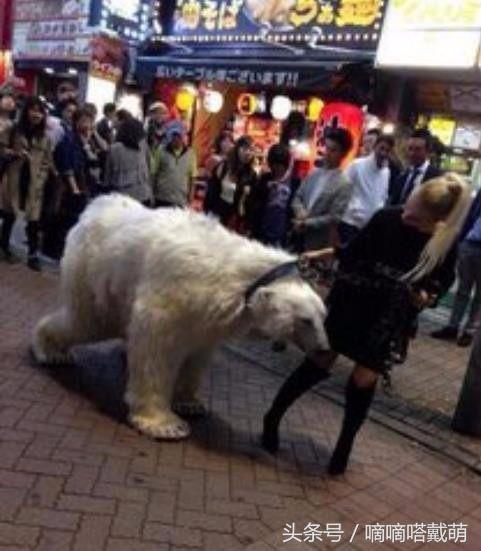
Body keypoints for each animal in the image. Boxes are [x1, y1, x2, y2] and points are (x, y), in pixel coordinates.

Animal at [32, 195, 328, 440]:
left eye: (323, 317)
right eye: (306, 320)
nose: (325, 349)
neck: (236, 276)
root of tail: (94, 207)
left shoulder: (208, 315)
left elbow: (197, 353)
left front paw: (190, 403)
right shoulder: (177, 293)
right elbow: (156, 348)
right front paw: (165, 424)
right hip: (95, 272)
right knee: (87, 320)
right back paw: (52, 351)